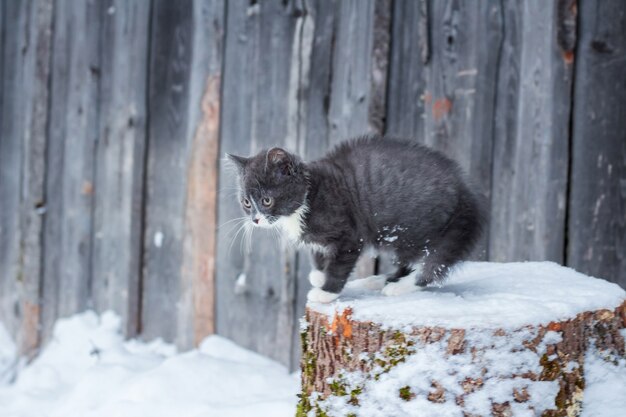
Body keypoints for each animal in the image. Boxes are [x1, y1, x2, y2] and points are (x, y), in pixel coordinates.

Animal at [227, 136, 486, 302]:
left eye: (266, 200)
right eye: (246, 203)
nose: (255, 220)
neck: (309, 196)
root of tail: (465, 190)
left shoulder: (349, 235)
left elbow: (339, 265)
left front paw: (326, 291)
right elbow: (318, 253)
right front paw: (319, 274)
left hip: (415, 226)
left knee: (429, 263)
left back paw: (399, 287)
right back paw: (382, 280)